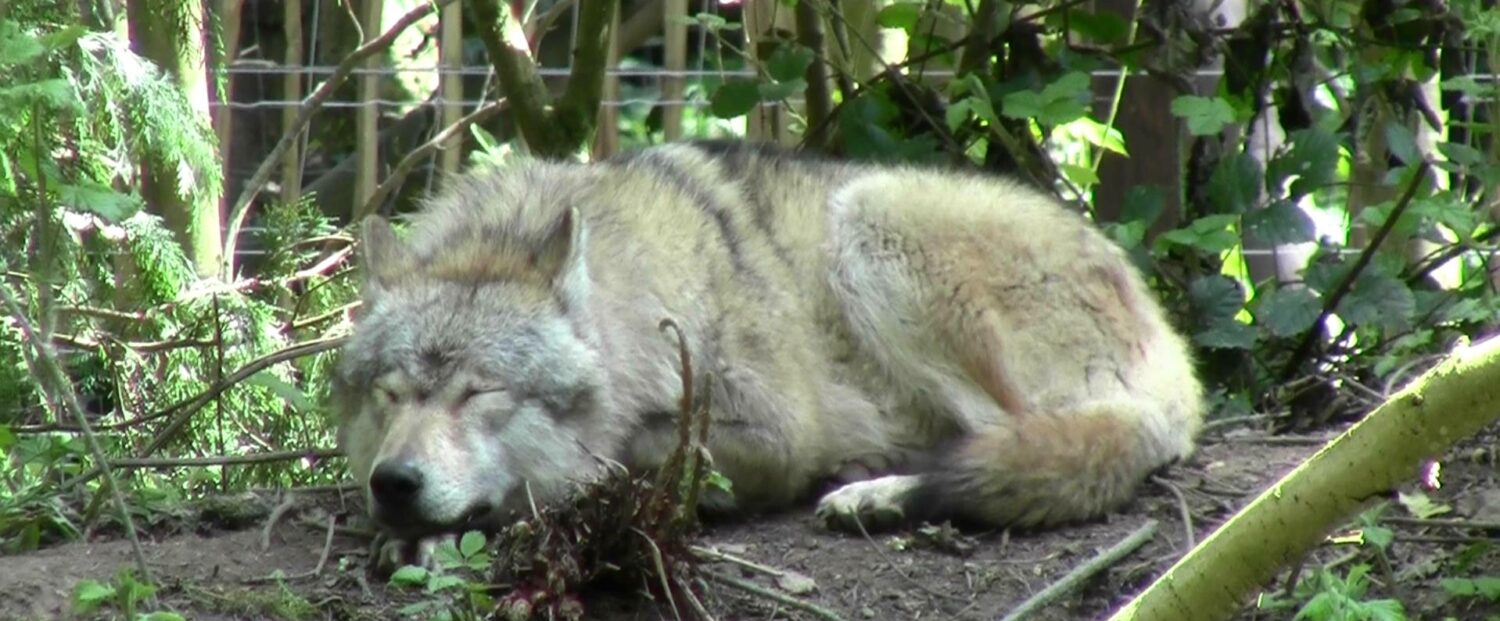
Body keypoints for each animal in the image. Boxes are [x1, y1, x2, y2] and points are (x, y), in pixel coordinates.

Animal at [333, 141, 1203, 562]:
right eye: (390, 393)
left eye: (479, 393)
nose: (396, 483)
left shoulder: (775, 429)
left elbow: (611, 458)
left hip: (872, 221)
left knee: (1014, 444)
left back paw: (877, 491)